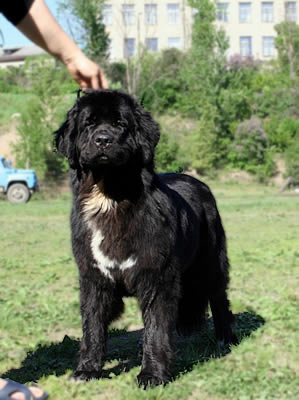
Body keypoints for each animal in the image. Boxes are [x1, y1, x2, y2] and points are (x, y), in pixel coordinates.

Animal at [54, 90, 237, 388]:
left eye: (120, 124)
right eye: (88, 124)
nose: (103, 139)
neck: (111, 199)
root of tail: (199, 182)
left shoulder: (157, 277)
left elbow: (155, 329)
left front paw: (152, 374)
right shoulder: (93, 278)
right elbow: (92, 326)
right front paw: (87, 369)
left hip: (210, 262)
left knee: (219, 297)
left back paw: (226, 339)